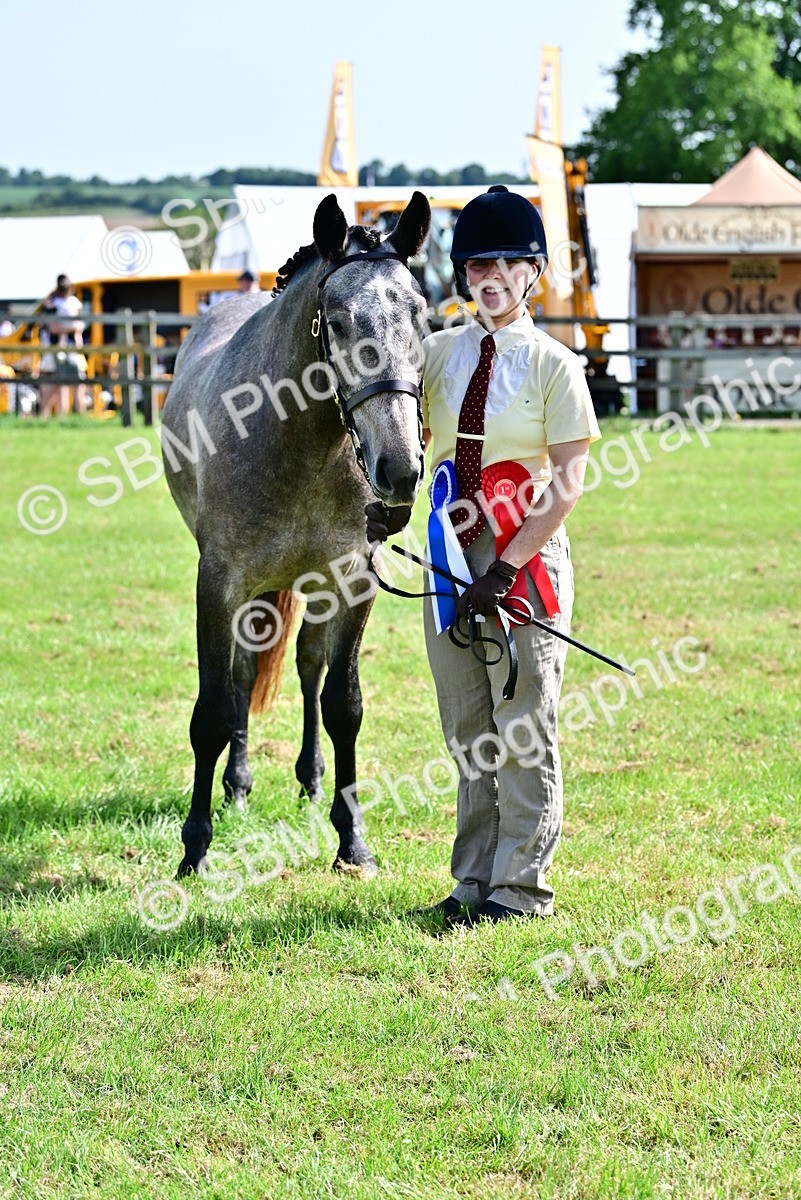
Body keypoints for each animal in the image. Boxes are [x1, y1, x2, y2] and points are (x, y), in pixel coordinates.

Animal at [161, 191, 432, 878]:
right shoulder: (219, 585)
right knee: (242, 675)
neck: (300, 443)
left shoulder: (354, 582)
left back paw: (309, 779)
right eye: (335, 322)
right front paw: (195, 849)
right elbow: (214, 710)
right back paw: (237, 785)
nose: (400, 469)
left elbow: (343, 703)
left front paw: (352, 840)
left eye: (421, 315)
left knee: (309, 667)